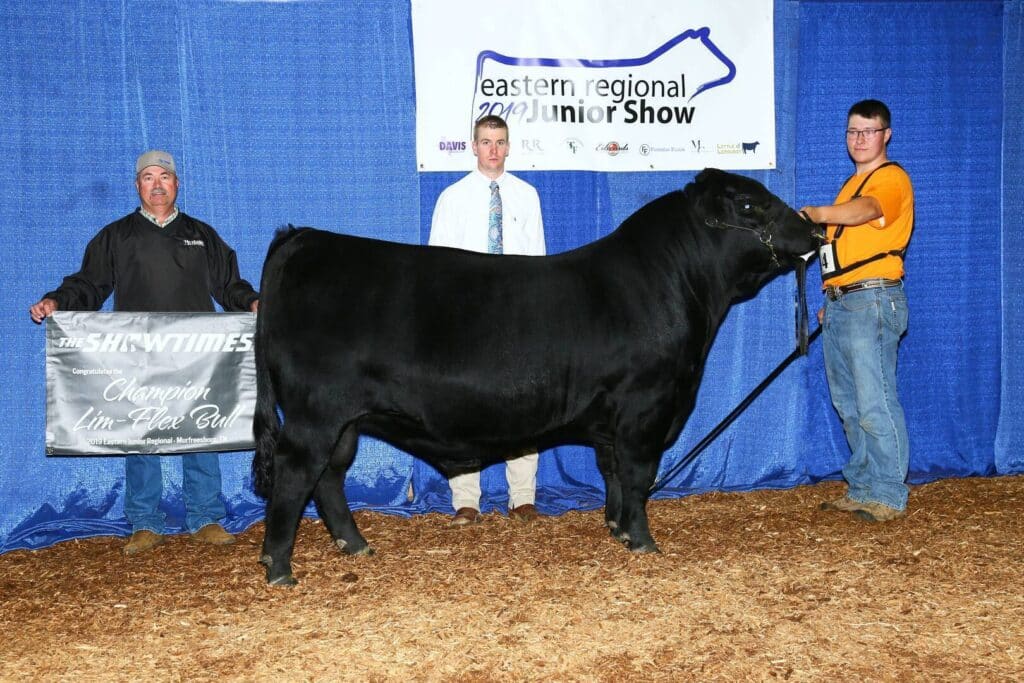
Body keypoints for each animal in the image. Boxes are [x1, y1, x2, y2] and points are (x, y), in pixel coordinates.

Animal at [252, 168, 823, 585]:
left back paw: (356, 546)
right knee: (296, 473)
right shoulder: (647, 406)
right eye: (748, 205)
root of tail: (303, 238)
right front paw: (643, 543)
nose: (815, 229)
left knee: (330, 476)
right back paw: (280, 568)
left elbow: (613, 474)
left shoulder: (616, 420)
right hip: (315, 413)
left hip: (343, 420)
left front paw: (616, 529)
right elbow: (638, 476)